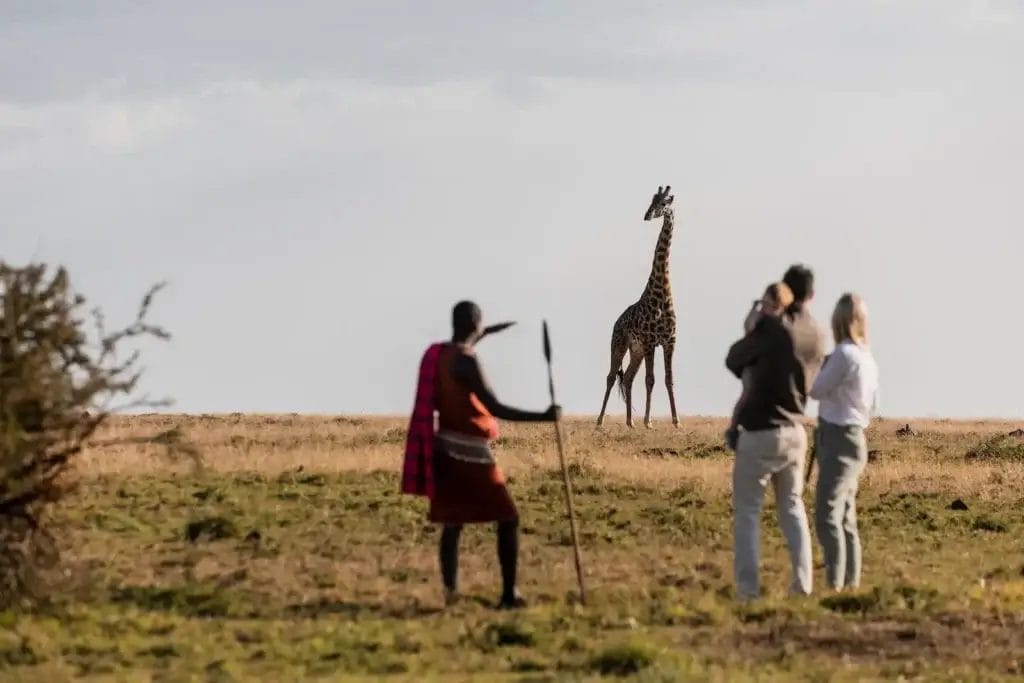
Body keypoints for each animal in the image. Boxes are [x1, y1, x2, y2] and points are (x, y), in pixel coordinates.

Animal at [596, 185, 679, 429]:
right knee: (611, 376)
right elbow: (650, 380)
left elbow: (668, 379)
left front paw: (676, 421)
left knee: (629, 377)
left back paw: (629, 421)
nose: (647, 215)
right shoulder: (651, 341)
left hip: (636, 351)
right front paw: (648, 421)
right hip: (619, 343)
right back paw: (600, 420)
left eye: (664, 203)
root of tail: (616, 322)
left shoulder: (670, 341)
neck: (662, 292)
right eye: (651, 201)